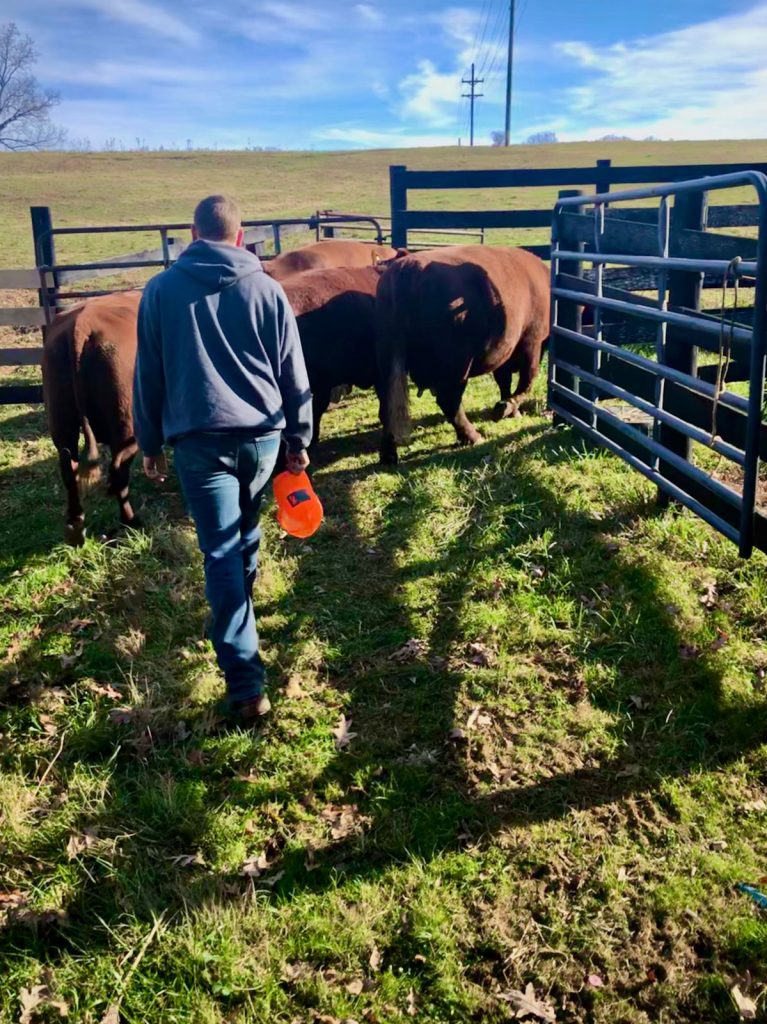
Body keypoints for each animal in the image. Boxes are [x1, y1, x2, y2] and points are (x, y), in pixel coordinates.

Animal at [43, 290, 142, 544]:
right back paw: (131, 522)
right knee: (118, 471)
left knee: (69, 466)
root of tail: (81, 324)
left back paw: (75, 527)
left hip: (61, 420)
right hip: (126, 425)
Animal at [374, 243, 548, 464]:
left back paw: (388, 454)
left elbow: (504, 381)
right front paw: (506, 407)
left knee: (387, 406)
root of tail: (407, 267)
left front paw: (511, 410)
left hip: (387, 361)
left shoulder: (504, 351)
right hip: (457, 367)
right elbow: (527, 381)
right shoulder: (531, 341)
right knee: (450, 401)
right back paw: (472, 436)